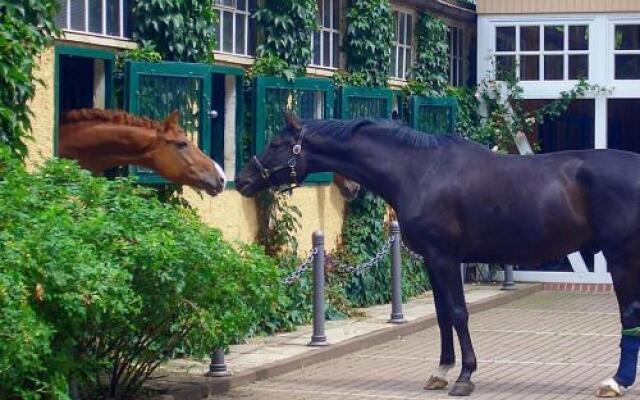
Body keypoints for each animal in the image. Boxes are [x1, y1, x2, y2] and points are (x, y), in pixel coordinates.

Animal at [235, 113, 640, 396]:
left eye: (276, 143)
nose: (242, 180)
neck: (419, 170)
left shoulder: (444, 257)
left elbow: (458, 313)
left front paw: (465, 376)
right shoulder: (432, 259)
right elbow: (443, 314)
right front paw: (441, 372)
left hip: (621, 257)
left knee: (629, 314)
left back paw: (616, 381)